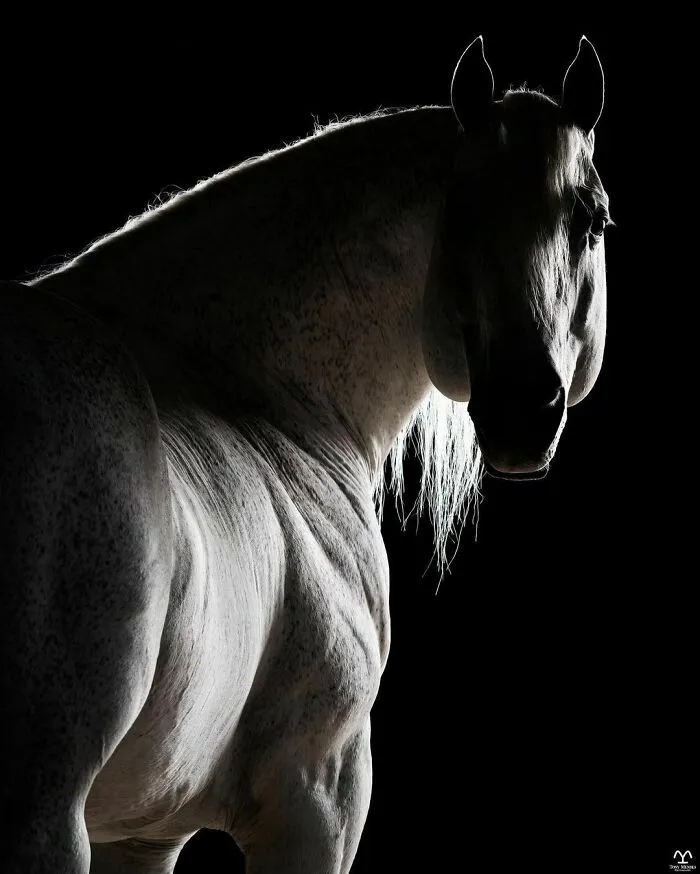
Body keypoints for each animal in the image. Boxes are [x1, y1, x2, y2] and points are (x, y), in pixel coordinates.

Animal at [0, 35, 611, 873]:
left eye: (594, 221)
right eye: (460, 215)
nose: (523, 409)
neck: (266, 403)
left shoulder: (141, 833)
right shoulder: (319, 800)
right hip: (43, 817)